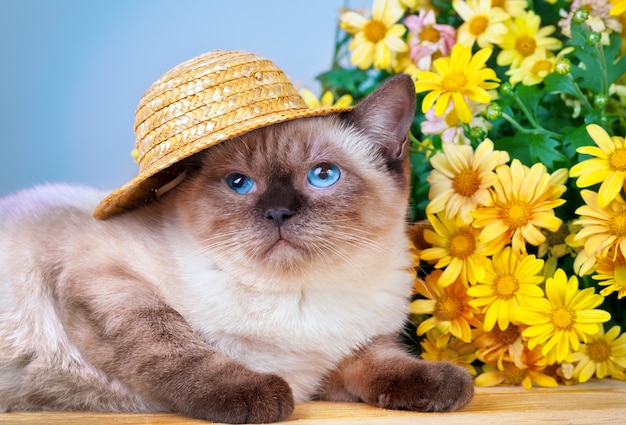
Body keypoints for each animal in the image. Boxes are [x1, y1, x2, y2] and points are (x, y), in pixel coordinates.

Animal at [0, 71, 470, 422]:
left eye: (323, 175)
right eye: (239, 183)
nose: (278, 213)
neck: (299, 297)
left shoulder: (338, 359)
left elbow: (383, 362)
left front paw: (448, 383)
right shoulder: (105, 281)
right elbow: (179, 348)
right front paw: (258, 396)